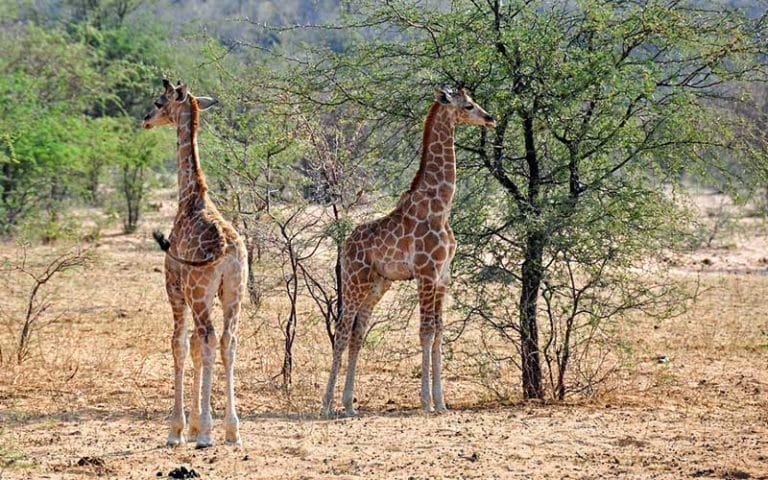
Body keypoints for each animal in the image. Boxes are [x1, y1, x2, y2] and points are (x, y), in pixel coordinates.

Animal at [143, 79, 247, 448]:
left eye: (159, 102)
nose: (145, 120)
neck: (189, 197)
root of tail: (228, 248)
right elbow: (196, 347)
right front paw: (191, 425)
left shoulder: (174, 286)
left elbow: (180, 344)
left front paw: (177, 429)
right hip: (234, 293)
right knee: (228, 341)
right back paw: (232, 430)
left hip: (200, 294)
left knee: (208, 337)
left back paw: (206, 432)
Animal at [321, 86, 495, 417]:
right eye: (468, 105)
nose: (490, 118)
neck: (441, 206)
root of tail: (345, 246)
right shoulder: (426, 274)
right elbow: (425, 331)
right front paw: (426, 401)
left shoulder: (443, 278)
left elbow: (439, 331)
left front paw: (441, 402)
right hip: (353, 281)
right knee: (341, 331)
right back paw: (326, 406)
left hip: (378, 285)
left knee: (358, 334)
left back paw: (349, 405)